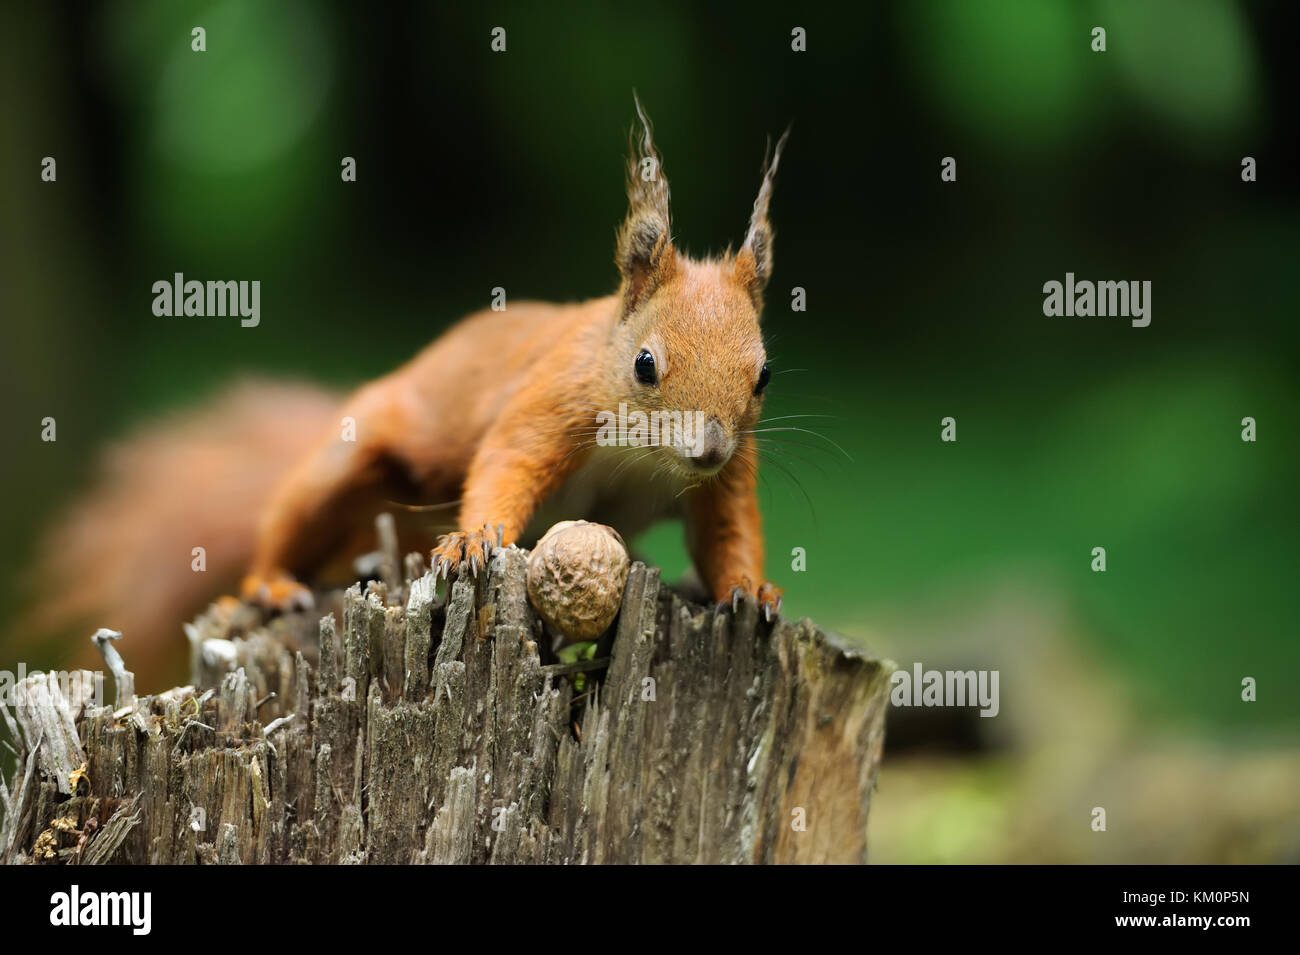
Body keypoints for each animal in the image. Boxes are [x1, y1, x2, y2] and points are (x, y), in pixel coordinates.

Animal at [25, 102, 785, 686]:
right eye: (645, 364)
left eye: (764, 376)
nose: (708, 449)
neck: (641, 457)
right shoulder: (550, 403)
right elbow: (506, 464)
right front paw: (474, 541)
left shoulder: (730, 476)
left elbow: (728, 532)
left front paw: (752, 591)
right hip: (352, 455)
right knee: (287, 525)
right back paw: (272, 581)